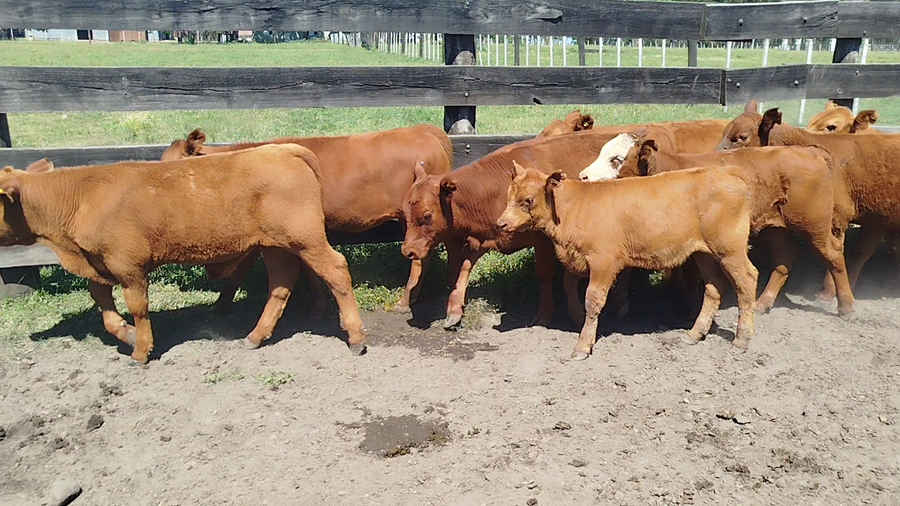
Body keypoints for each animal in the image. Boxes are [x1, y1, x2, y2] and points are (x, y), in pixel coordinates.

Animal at [0, 145, 367, 364]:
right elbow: (103, 307)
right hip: (275, 245)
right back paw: (255, 336)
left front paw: (141, 350)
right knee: (281, 283)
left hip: (305, 239)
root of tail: (284, 149)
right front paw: (126, 333)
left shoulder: (128, 266)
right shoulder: (99, 264)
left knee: (336, 269)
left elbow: (138, 308)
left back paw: (355, 337)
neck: (82, 196)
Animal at [161, 124, 453, 315]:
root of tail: (422, 130)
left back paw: (405, 301)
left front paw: (221, 305)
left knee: (420, 259)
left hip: (413, 218)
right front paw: (318, 305)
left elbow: (243, 268)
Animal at [400, 119, 734, 328]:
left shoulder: (545, 242)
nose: (408, 251)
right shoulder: (486, 236)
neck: (494, 187)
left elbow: (548, 276)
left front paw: (547, 313)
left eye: (427, 215)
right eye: (405, 211)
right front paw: (453, 310)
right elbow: (463, 270)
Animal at [497, 162, 759, 359]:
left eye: (528, 200)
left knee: (746, 281)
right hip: (704, 253)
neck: (574, 209)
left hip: (730, 249)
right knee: (714, 287)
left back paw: (741, 339)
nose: (501, 223)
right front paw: (577, 316)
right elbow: (568, 284)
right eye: (509, 195)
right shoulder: (578, 258)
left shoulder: (603, 261)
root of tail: (727, 173)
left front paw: (583, 345)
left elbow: (593, 299)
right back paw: (694, 334)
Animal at [580, 130, 856, 317]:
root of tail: (810, 151)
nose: (583, 176)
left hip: (814, 224)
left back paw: (846, 305)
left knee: (833, 254)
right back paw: (763, 303)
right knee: (785, 257)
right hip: (776, 227)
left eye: (616, 159)